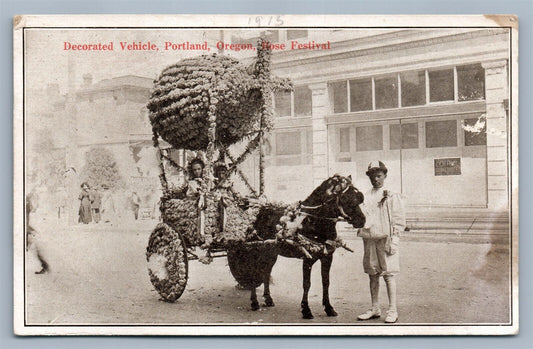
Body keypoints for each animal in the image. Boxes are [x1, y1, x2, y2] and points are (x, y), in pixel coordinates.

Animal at [224, 174, 366, 318]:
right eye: (346, 198)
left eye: (359, 198)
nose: (362, 220)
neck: (313, 221)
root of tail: (259, 211)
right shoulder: (307, 258)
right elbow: (307, 284)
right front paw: (306, 309)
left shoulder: (327, 257)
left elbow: (326, 283)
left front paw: (329, 308)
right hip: (256, 250)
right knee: (254, 272)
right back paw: (254, 302)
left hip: (270, 252)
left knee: (266, 271)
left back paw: (268, 299)